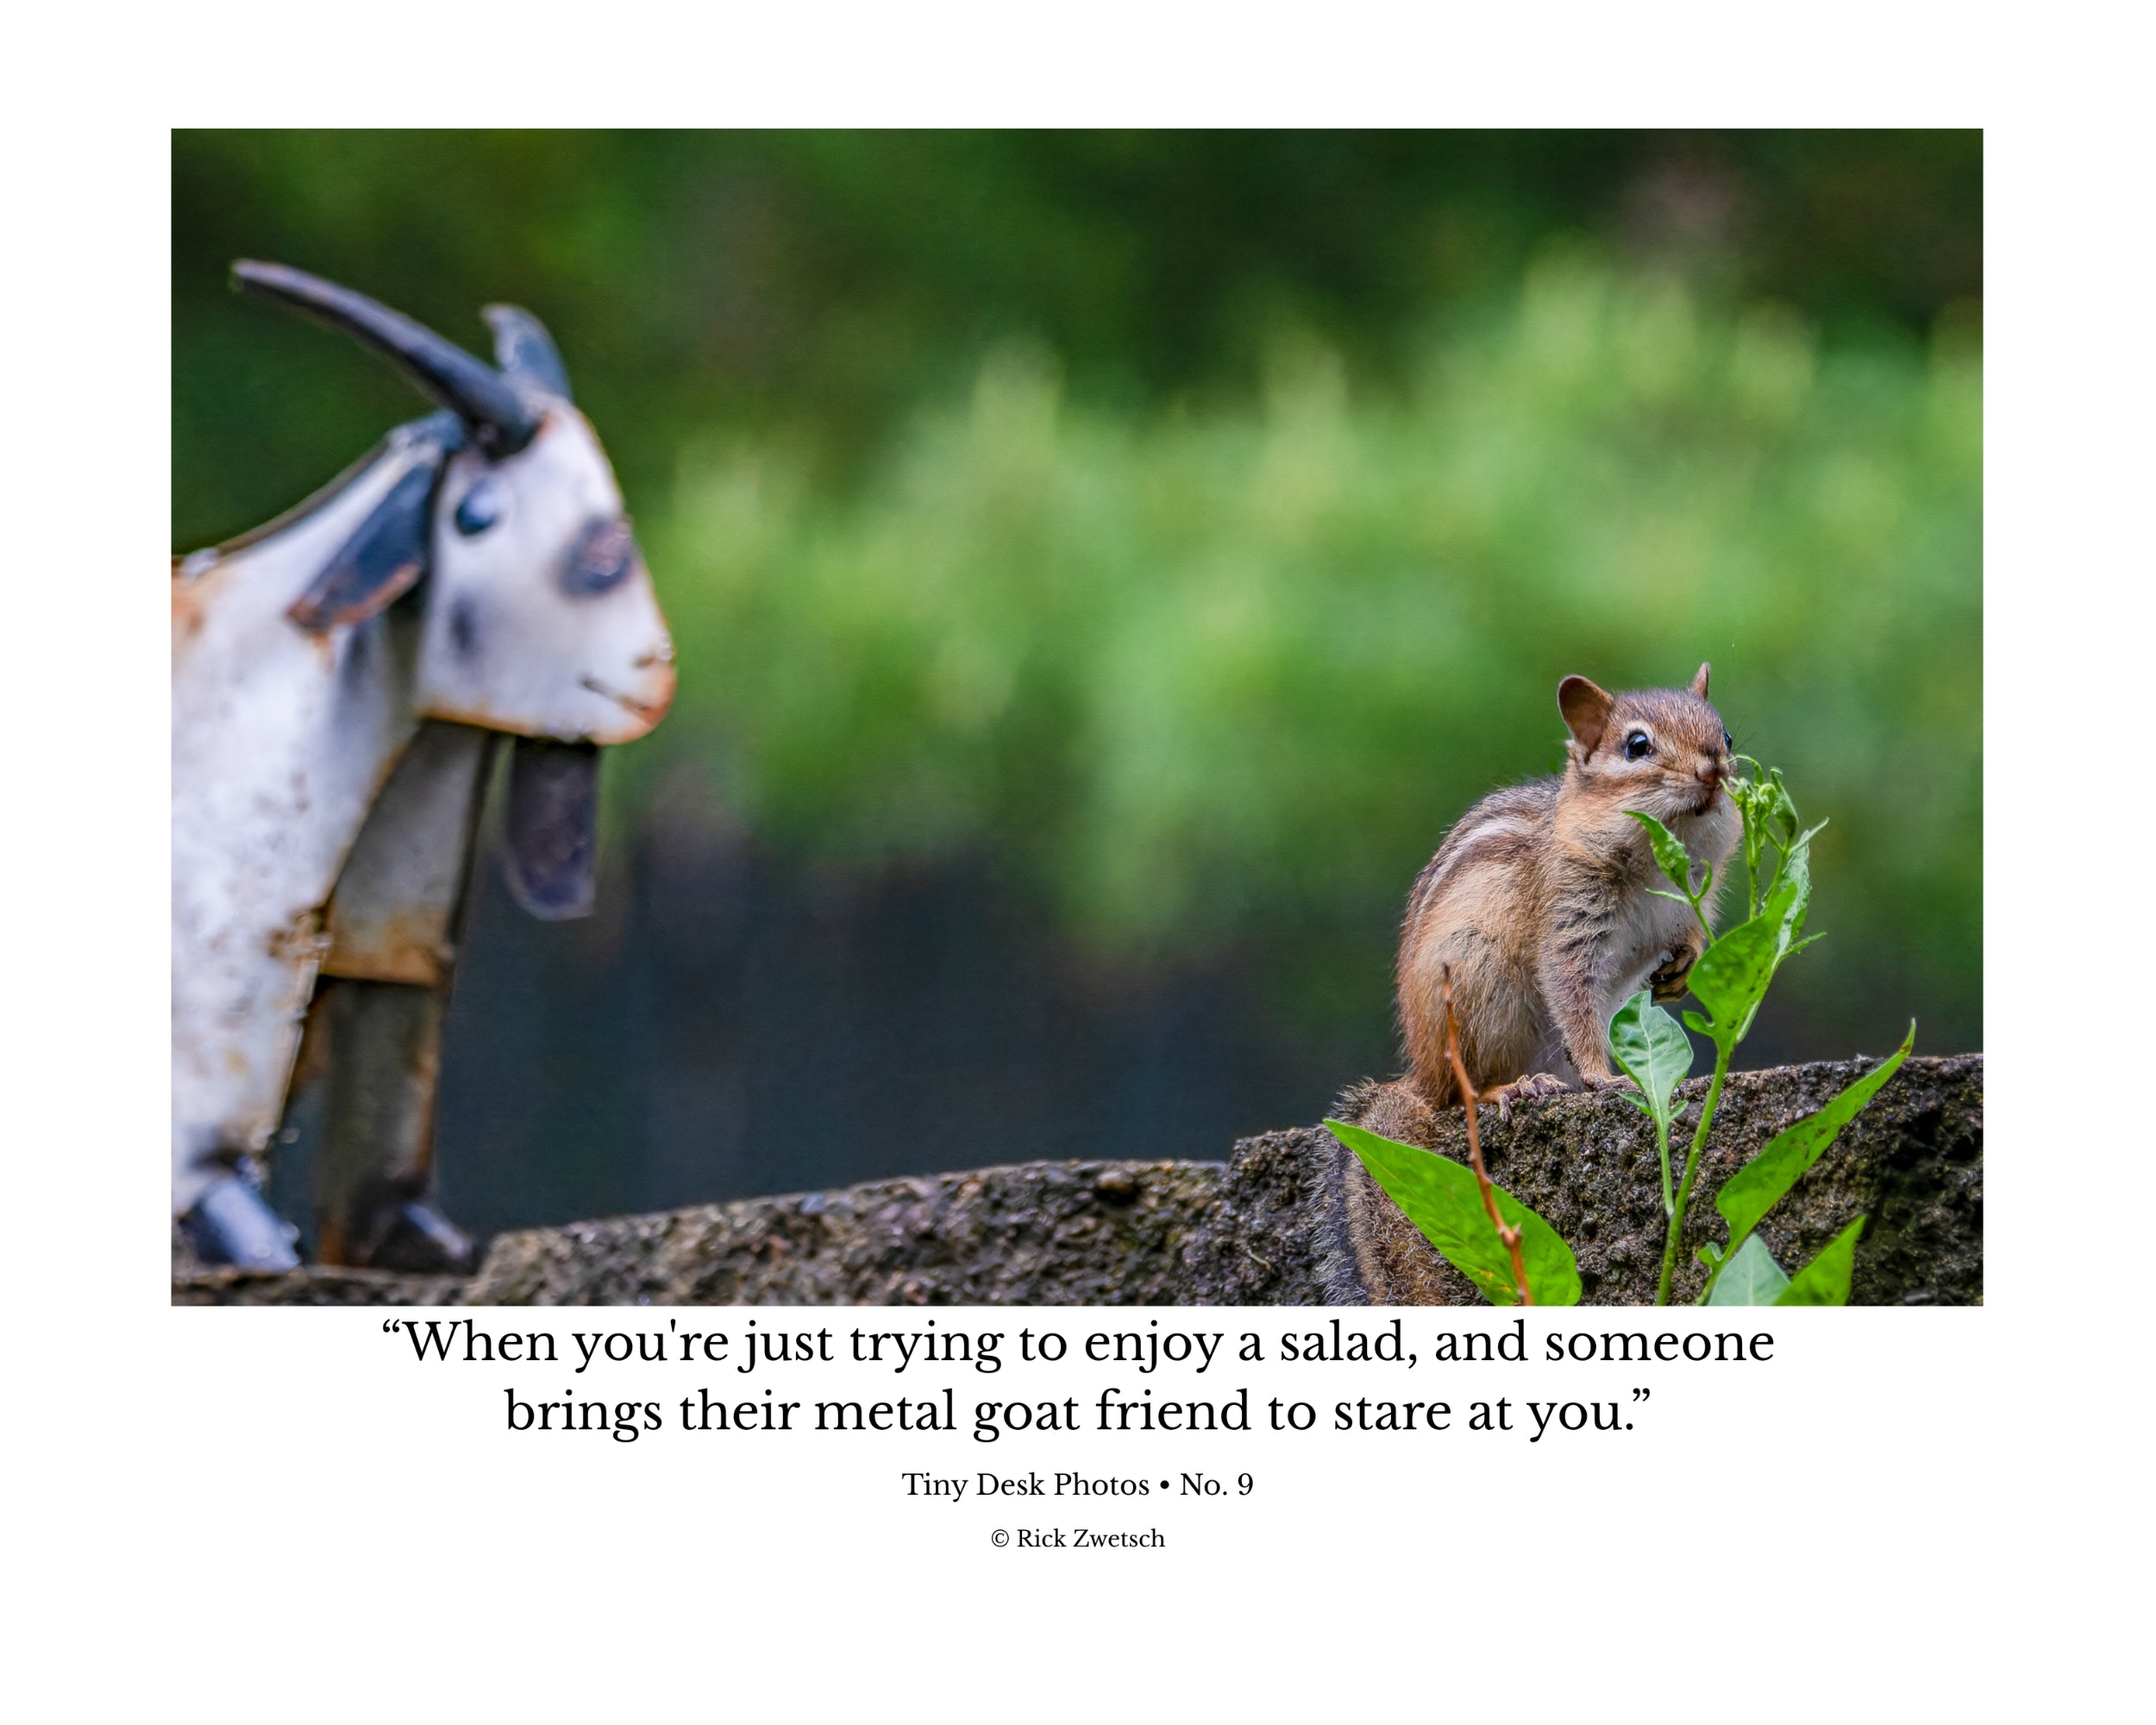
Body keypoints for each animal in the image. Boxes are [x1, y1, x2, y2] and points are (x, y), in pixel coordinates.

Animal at [1327, 664, 1742, 1303]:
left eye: (1725, 734)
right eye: (1637, 746)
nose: (1714, 771)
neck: (1657, 857)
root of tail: (1418, 1078)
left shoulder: (1690, 904)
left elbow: (1689, 939)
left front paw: (1681, 972)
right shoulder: (1568, 924)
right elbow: (1571, 994)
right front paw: (1602, 1077)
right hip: (1478, 990)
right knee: (1460, 1095)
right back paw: (1511, 1090)